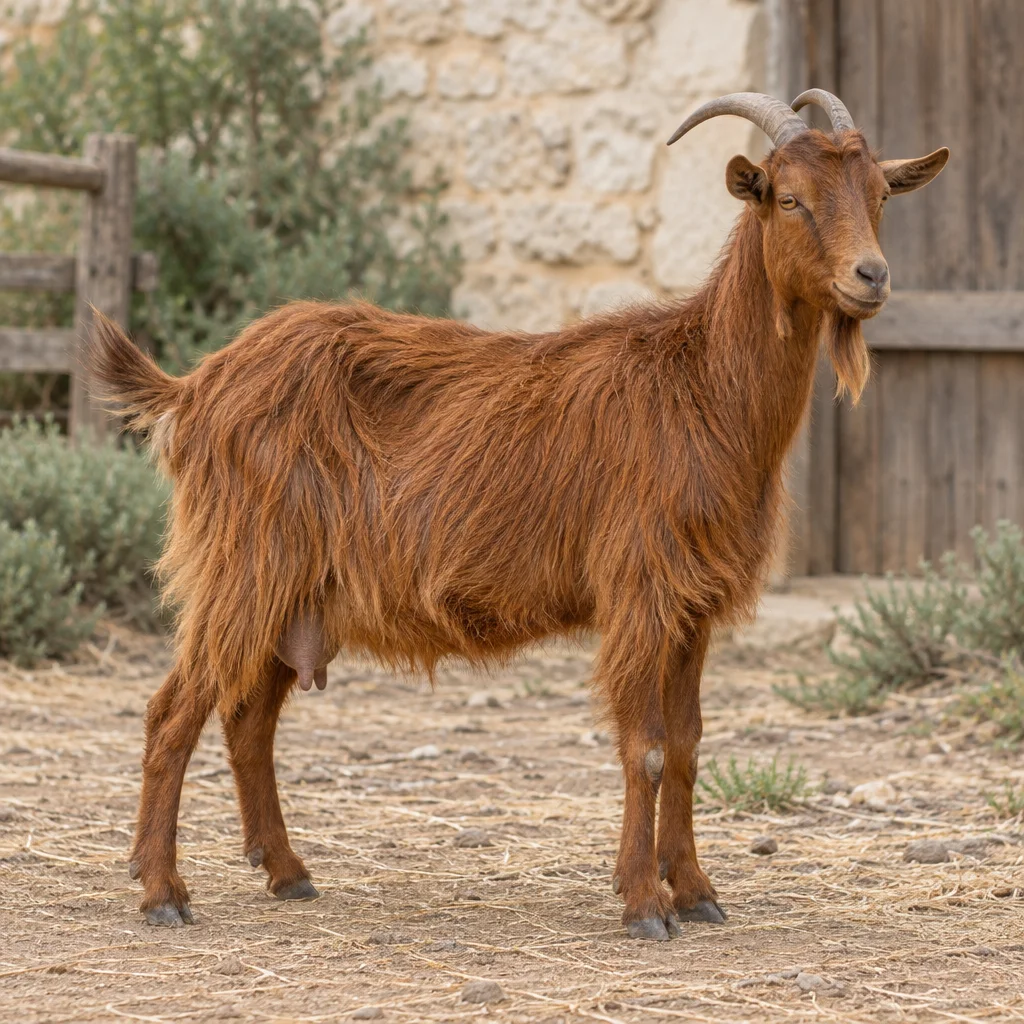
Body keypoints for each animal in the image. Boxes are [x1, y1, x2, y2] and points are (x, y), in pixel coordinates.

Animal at [90, 90, 948, 938]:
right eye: (790, 198)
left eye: (879, 195)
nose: (871, 276)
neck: (703, 387)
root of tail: (195, 386)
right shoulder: (640, 590)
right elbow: (646, 748)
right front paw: (644, 903)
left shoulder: (693, 606)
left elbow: (690, 747)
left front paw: (697, 891)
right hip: (243, 564)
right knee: (173, 712)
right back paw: (162, 891)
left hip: (295, 590)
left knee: (248, 720)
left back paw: (287, 872)